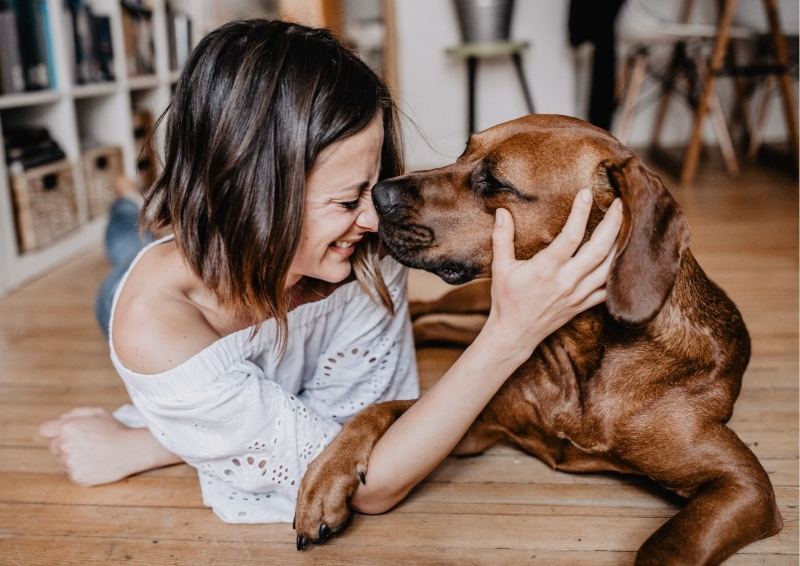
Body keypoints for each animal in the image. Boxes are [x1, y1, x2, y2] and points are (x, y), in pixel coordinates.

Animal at [292, 116, 780, 566]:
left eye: (494, 182)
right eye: (464, 151)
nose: (378, 194)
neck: (580, 352)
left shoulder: (742, 485)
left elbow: (667, 546)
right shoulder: (478, 422)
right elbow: (381, 410)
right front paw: (323, 480)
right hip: (478, 296)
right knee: (431, 315)